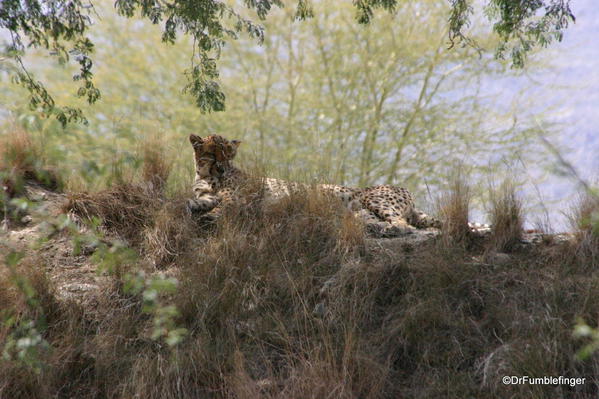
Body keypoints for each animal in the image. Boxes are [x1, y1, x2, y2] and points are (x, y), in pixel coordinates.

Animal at [186, 134, 440, 234]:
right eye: (213, 153)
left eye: (228, 154)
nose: (221, 168)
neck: (206, 175)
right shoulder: (207, 193)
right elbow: (199, 201)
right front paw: (193, 206)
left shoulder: (236, 198)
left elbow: (222, 206)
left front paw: (209, 216)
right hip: (361, 210)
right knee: (371, 220)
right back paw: (374, 227)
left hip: (374, 199)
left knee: (403, 224)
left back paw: (391, 229)